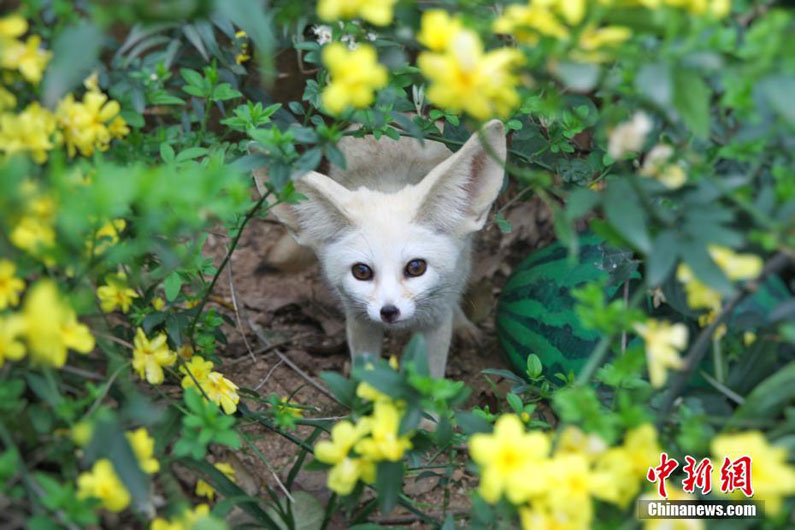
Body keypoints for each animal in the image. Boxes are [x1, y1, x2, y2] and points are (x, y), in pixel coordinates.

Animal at [274, 119, 506, 376]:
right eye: (361, 271)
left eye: (416, 267)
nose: (388, 312)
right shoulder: (359, 320)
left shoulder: (436, 322)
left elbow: (432, 378)